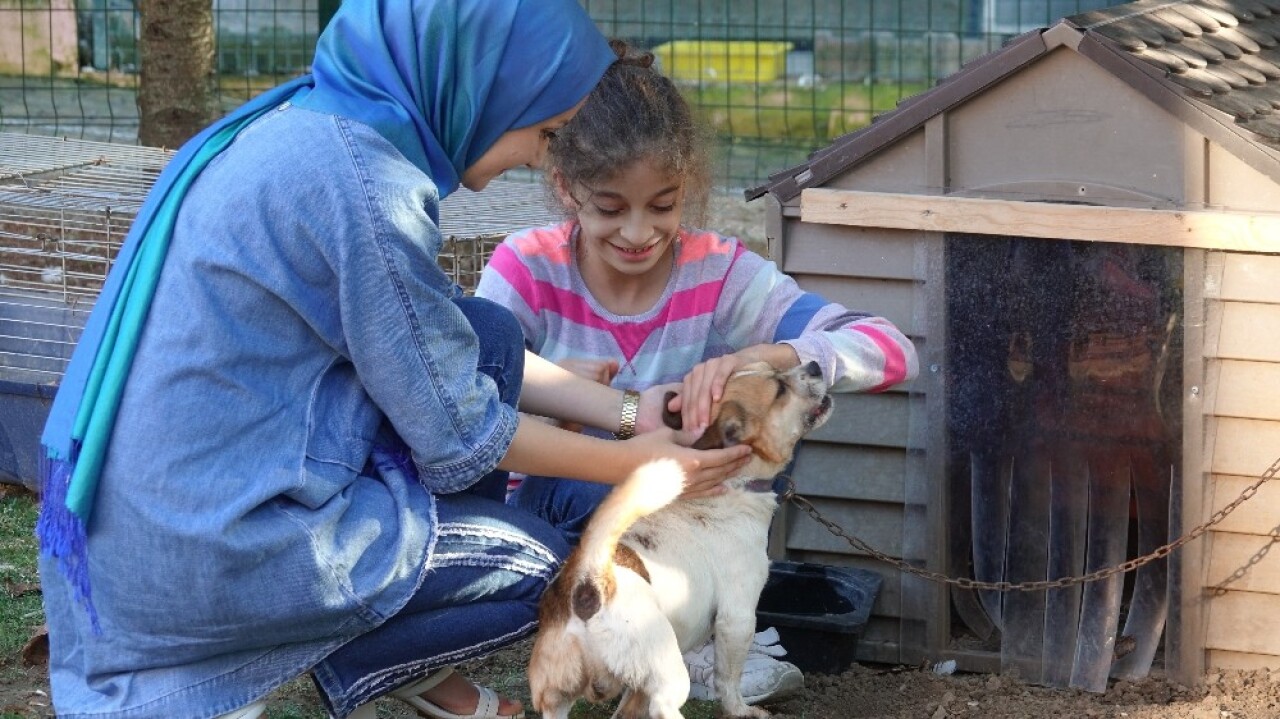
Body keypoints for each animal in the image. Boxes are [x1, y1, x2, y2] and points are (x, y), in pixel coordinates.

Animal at [527, 360, 834, 716]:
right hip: (668, 672)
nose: (814, 364)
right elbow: (729, 680)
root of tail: (589, 583)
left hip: (556, 696)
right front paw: (741, 710)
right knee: (664, 705)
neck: (734, 484)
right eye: (780, 390)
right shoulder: (738, 617)